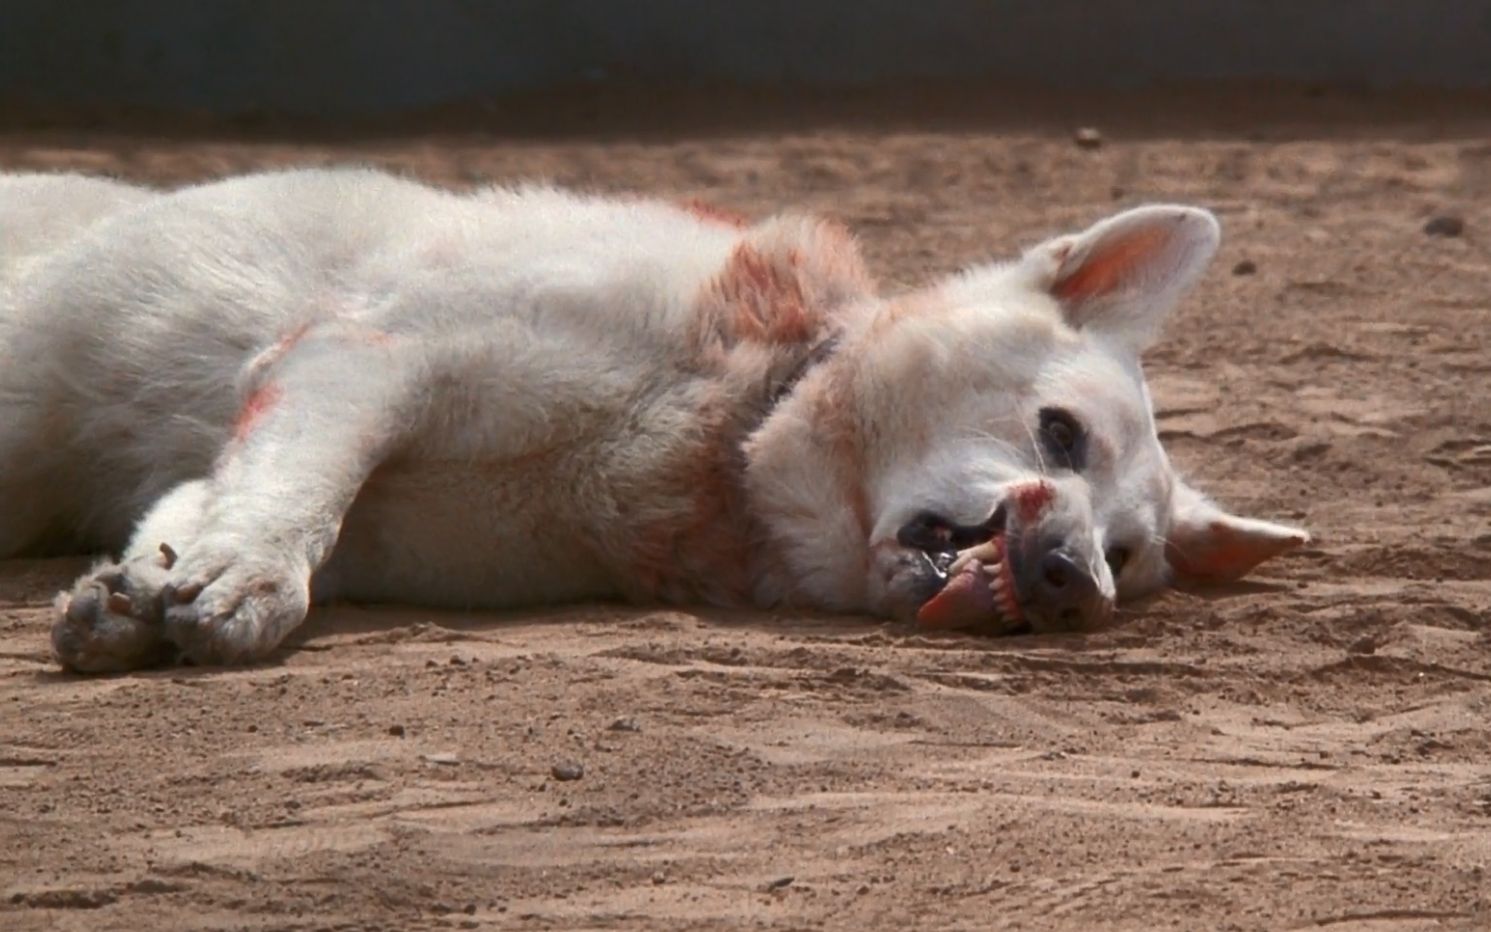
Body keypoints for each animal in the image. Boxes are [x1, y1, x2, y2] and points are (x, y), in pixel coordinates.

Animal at [0, 170, 1306, 671]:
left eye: (1126, 552)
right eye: (1061, 436)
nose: (1075, 582)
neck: (723, 432)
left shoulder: (299, 440)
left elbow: (199, 510)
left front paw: (142, 594)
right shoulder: (360, 359)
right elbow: (291, 497)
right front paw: (241, 580)